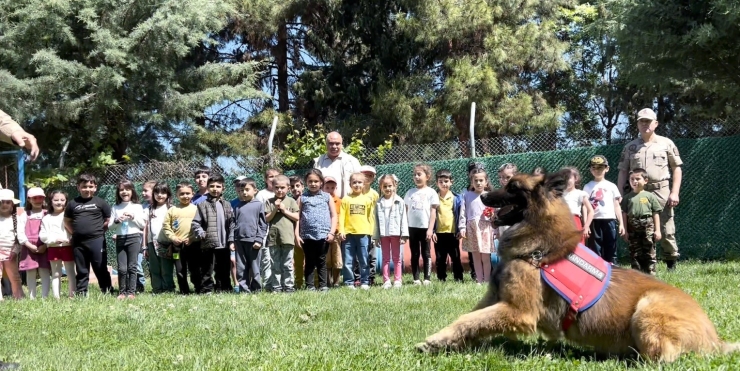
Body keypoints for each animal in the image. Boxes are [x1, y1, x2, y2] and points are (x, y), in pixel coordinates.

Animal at [416, 171, 740, 364]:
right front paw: (441, 342)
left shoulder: (517, 311)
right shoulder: (496, 299)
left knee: (666, 358)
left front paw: (435, 342)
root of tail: (715, 339)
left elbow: (468, 320)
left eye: (513, 187)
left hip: (647, 310)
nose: (481, 195)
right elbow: (468, 319)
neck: (538, 245)